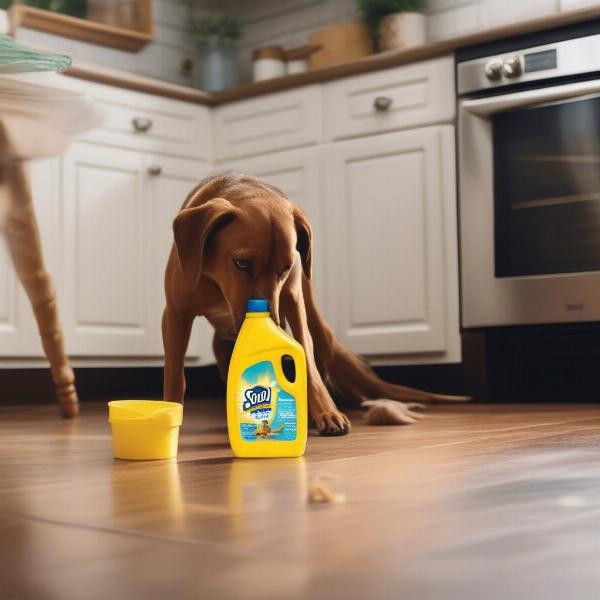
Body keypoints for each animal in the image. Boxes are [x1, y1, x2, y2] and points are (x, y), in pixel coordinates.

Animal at [164, 171, 468, 434]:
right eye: (241, 263)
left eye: (285, 268)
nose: (272, 325)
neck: (218, 286)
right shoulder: (175, 315)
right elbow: (175, 375)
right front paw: (170, 417)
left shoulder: (292, 301)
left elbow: (307, 361)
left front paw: (326, 412)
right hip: (221, 347)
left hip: (319, 326)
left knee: (318, 356)